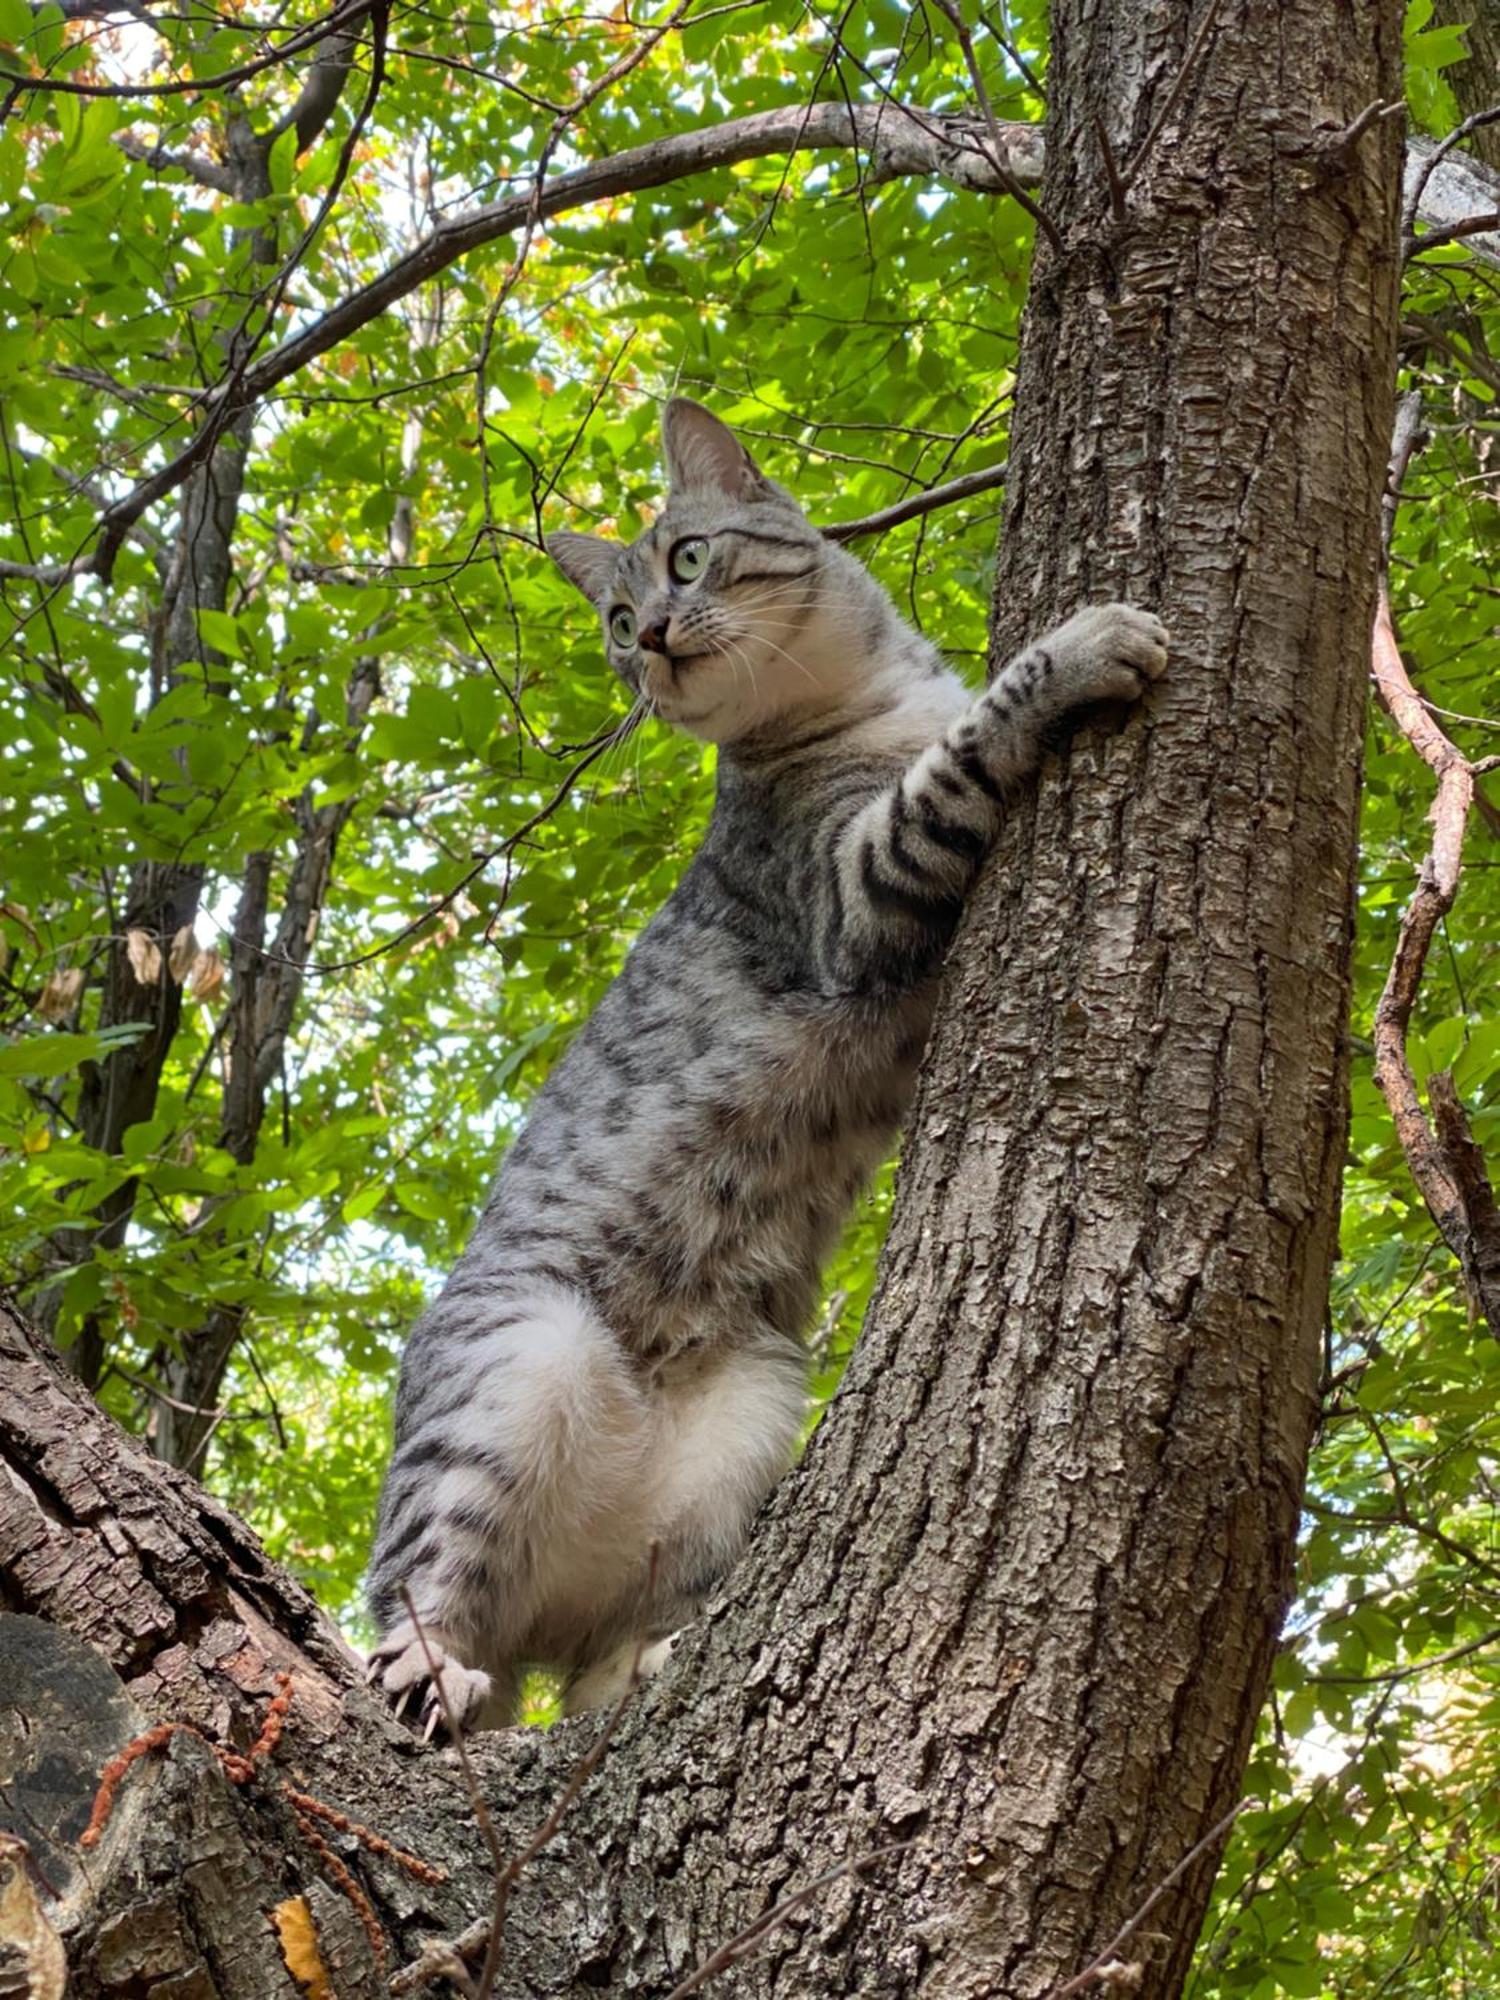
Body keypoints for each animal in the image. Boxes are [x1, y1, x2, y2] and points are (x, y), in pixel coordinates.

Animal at [370, 398, 1168, 1728]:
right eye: (613, 620)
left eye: (686, 559)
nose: (649, 636)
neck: (870, 692)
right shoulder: (851, 894)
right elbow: (965, 748)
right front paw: (1084, 641)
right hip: (515, 1372)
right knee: (412, 1597)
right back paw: (424, 1667)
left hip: (744, 1412)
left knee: (596, 1661)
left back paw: (650, 1656)